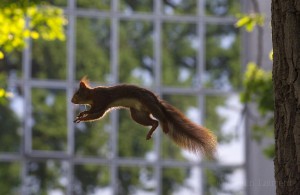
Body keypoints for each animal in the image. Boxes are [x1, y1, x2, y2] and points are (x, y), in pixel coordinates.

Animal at [72, 77, 218, 158]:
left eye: (78, 93)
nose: (71, 100)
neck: (92, 95)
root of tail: (155, 99)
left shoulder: (101, 101)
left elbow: (95, 112)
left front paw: (82, 116)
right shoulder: (101, 107)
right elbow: (95, 115)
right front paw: (81, 116)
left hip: (150, 105)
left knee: (161, 117)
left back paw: (165, 126)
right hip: (138, 114)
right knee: (154, 122)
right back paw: (150, 132)